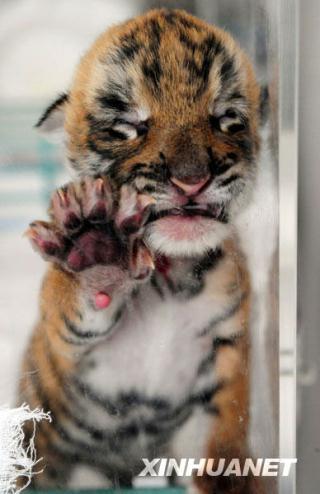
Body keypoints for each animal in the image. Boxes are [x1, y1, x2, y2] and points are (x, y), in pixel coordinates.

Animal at [19, 8, 264, 494]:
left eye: (224, 118)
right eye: (129, 126)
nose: (192, 180)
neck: (171, 279)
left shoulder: (225, 354)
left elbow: (224, 438)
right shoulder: (62, 355)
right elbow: (64, 302)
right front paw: (96, 250)